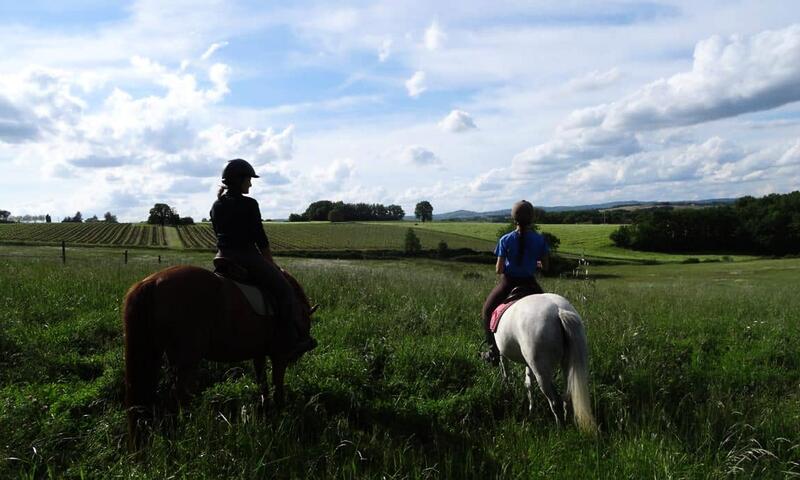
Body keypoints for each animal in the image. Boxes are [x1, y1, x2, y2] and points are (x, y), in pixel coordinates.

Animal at [122, 262, 316, 446]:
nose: (307, 344)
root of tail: (152, 282)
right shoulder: (279, 355)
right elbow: (277, 385)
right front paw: (280, 413)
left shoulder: (259, 354)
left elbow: (263, 383)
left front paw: (266, 409)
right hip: (186, 361)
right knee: (176, 400)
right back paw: (183, 436)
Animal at [490, 290, 596, 434]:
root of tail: (559, 311)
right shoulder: (528, 363)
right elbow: (528, 383)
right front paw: (531, 409)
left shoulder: (503, 354)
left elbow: (506, 373)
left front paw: (508, 391)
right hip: (566, 365)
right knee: (567, 396)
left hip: (541, 372)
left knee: (555, 401)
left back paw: (560, 430)